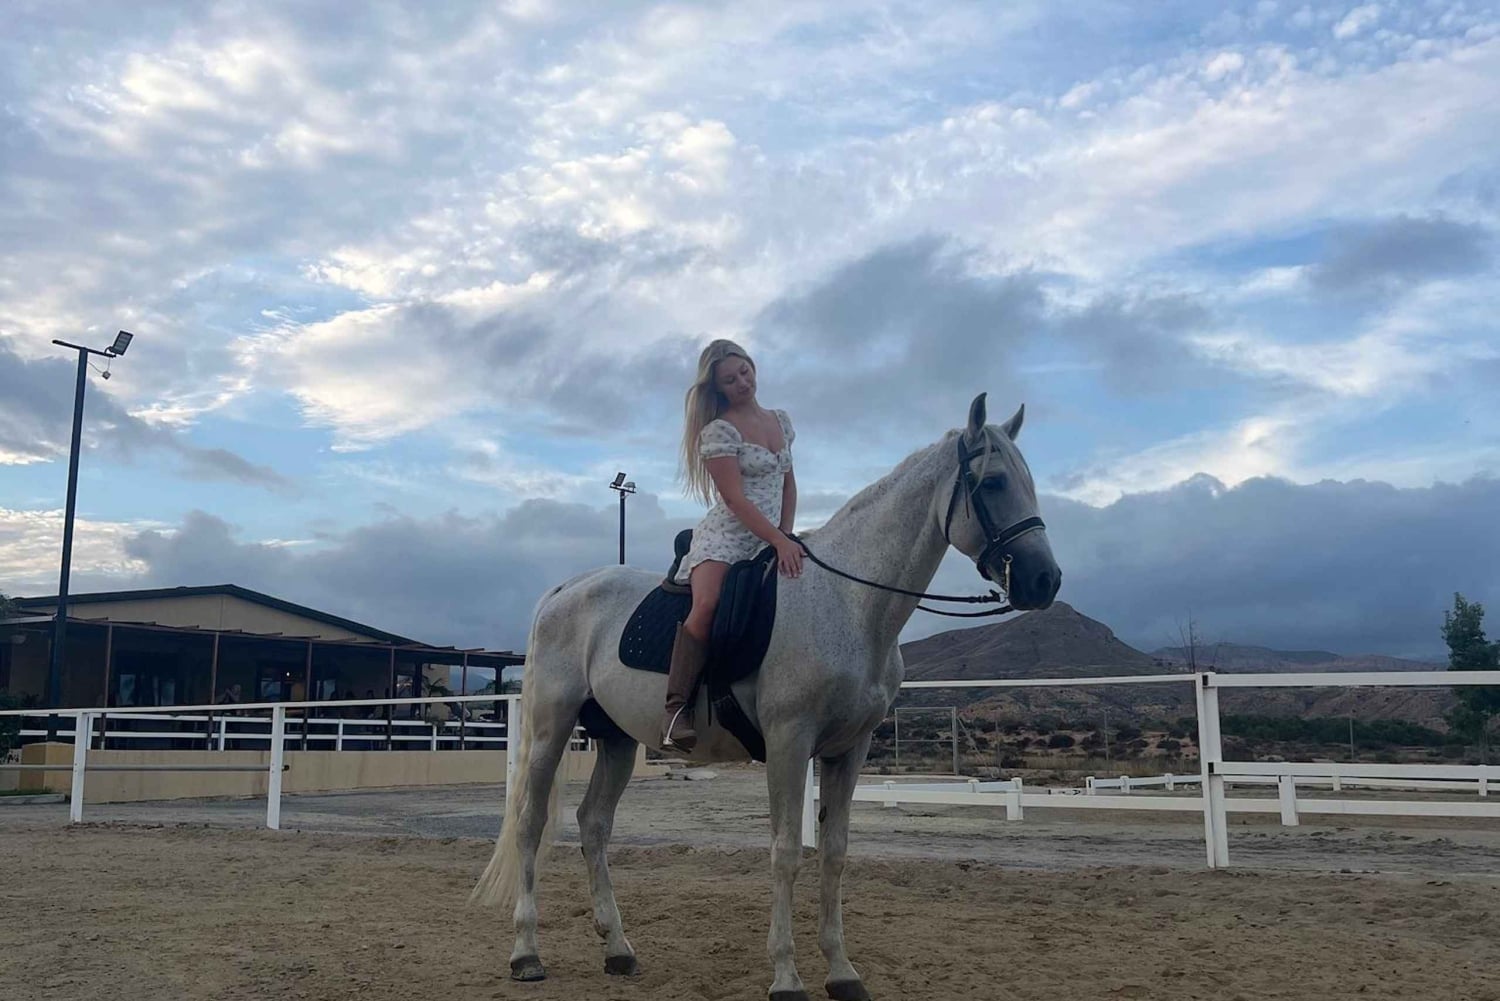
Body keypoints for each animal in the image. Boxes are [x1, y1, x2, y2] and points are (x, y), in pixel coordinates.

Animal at [472, 393, 1061, 1000]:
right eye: (993, 482)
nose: (1045, 580)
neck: (848, 602)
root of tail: (567, 589)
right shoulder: (788, 742)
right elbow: (785, 852)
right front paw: (786, 976)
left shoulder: (850, 750)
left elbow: (834, 853)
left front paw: (842, 971)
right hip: (551, 728)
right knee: (530, 824)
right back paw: (526, 952)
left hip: (617, 741)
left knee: (594, 825)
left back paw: (618, 949)